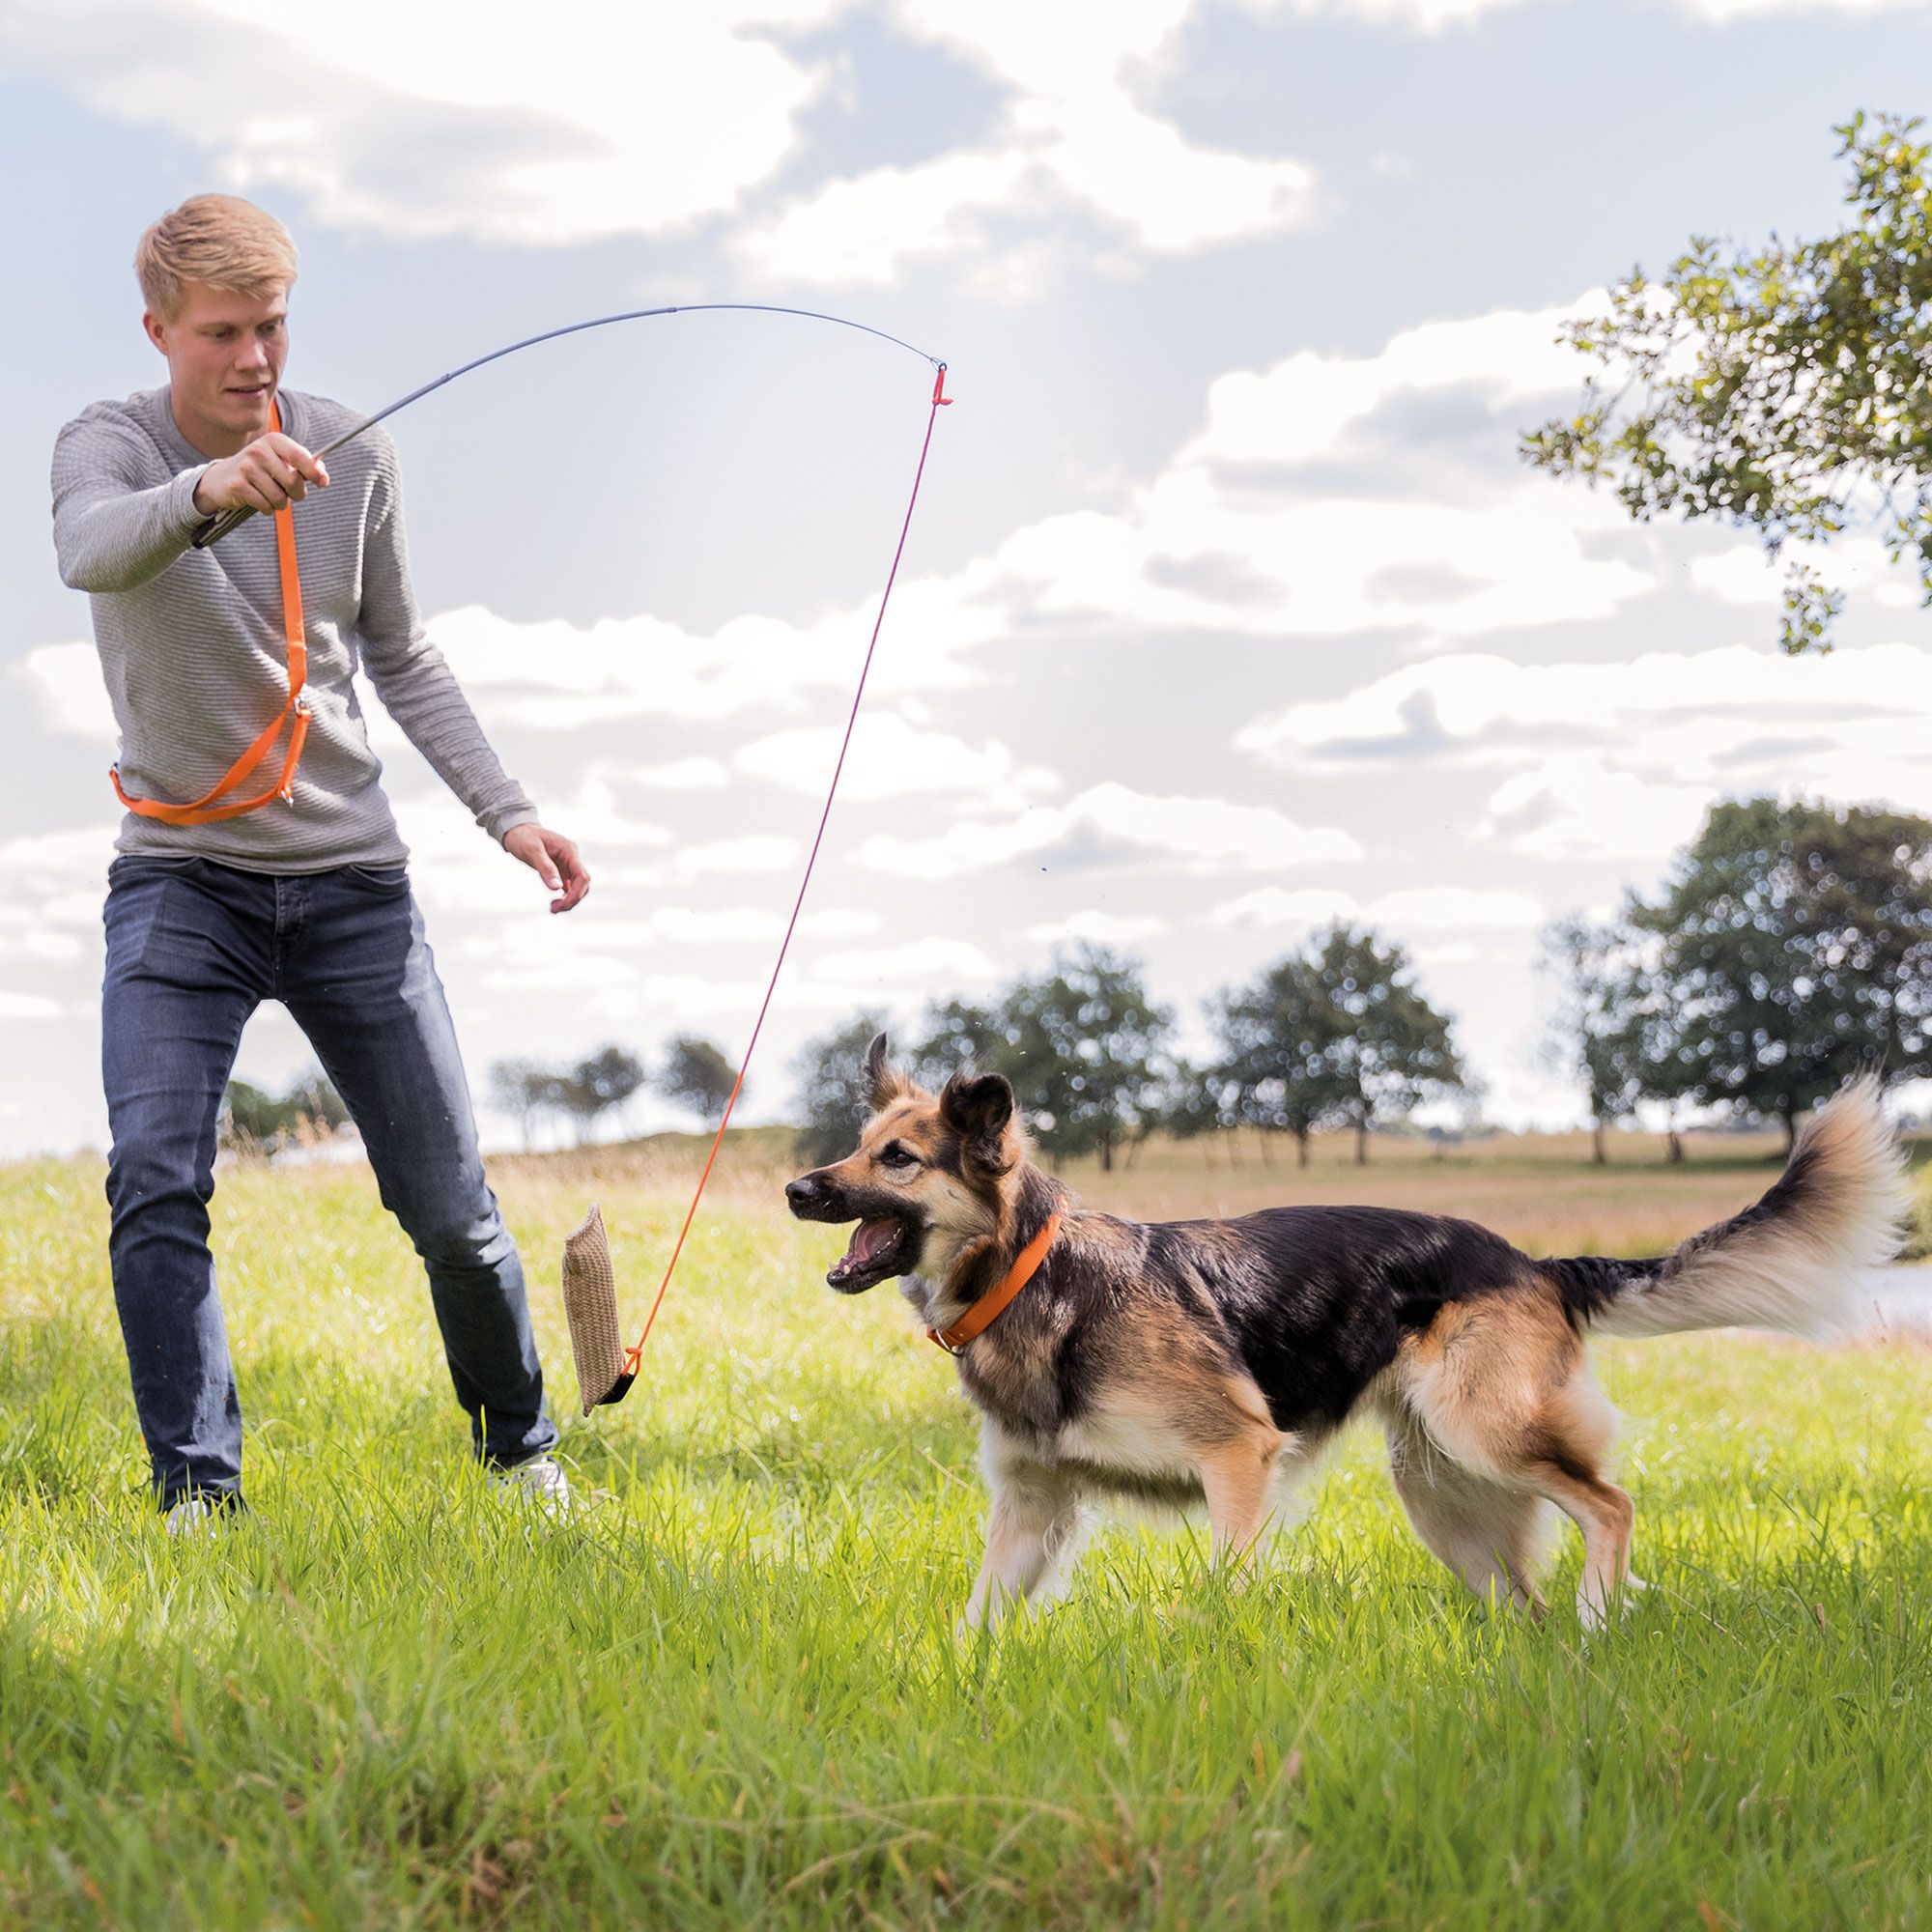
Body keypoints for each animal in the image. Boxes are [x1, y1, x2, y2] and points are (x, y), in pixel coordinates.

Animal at [784, 1043, 1901, 1631]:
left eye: (896, 1158)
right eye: (854, 1146)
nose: (797, 1187)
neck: (1032, 1278)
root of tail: (1530, 1258)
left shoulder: (1237, 1457)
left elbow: (1226, 1583)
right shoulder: (1029, 1505)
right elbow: (977, 1617)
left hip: (1488, 1434)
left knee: (1612, 1504)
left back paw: (1596, 1614)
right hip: (1442, 1488)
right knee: (1523, 1589)